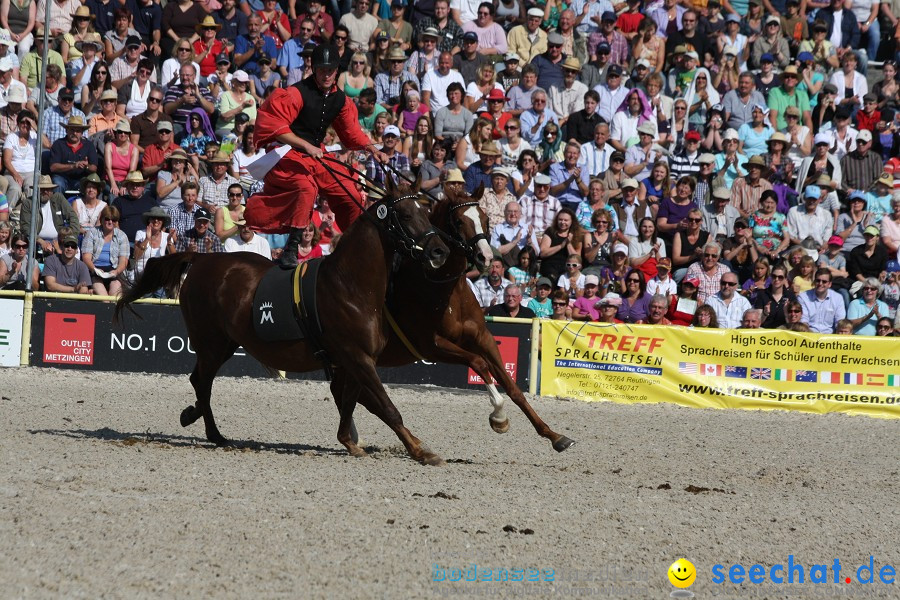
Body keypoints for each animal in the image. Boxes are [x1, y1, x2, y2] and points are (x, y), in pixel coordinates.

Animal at [115, 180, 454, 466]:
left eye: (426, 212)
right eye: (406, 215)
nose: (440, 251)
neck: (351, 285)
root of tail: (202, 259)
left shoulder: (355, 360)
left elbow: (350, 403)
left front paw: (350, 441)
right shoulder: (357, 357)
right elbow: (386, 407)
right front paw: (421, 451)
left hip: (225, 344)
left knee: (200, 381)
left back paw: (195, 417)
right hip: (210, 343)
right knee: (202, 382)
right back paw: (213, 432)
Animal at [332, 188, 576, 460]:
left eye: (485, 219)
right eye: (459, 221)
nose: (485, 256)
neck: (447, 292)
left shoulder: (483, 338)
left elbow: (513, 388)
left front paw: (554, 436)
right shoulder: (433, 346)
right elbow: (478, 363)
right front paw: (499, 416)